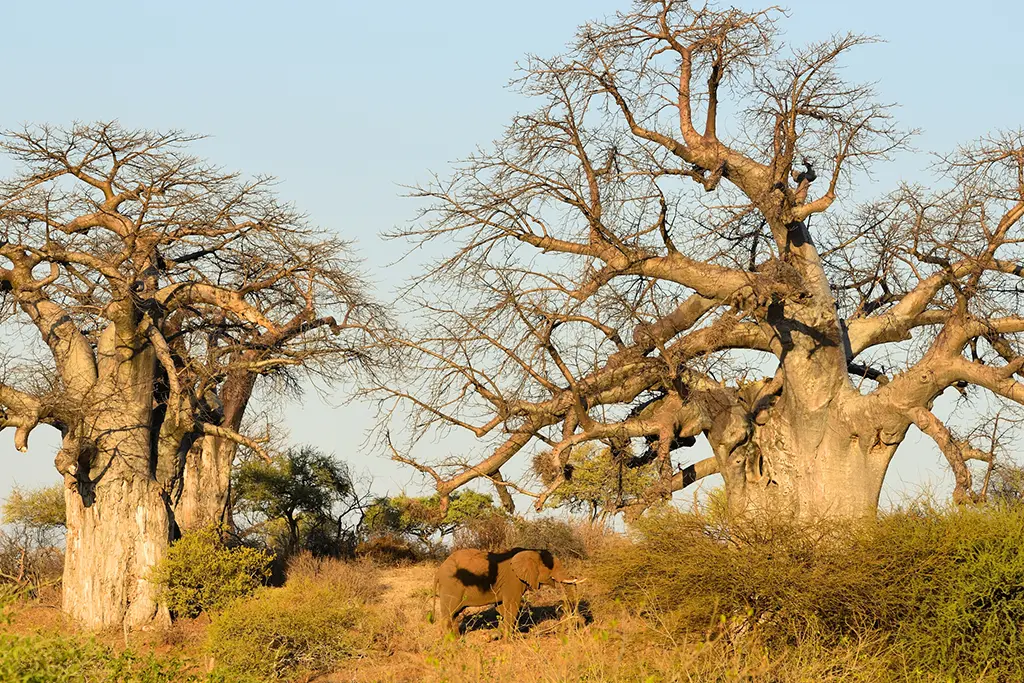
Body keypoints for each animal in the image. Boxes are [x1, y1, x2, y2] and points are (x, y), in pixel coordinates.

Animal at [433, 547, 583, 636]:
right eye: (553, 567)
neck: (530, 551)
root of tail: (438, 572)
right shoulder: (514, 580)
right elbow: (512, 606)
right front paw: (509, 640)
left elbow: (502, 608)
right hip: (452, 587)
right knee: (449, 613)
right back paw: (451, 642)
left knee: (454, 614)